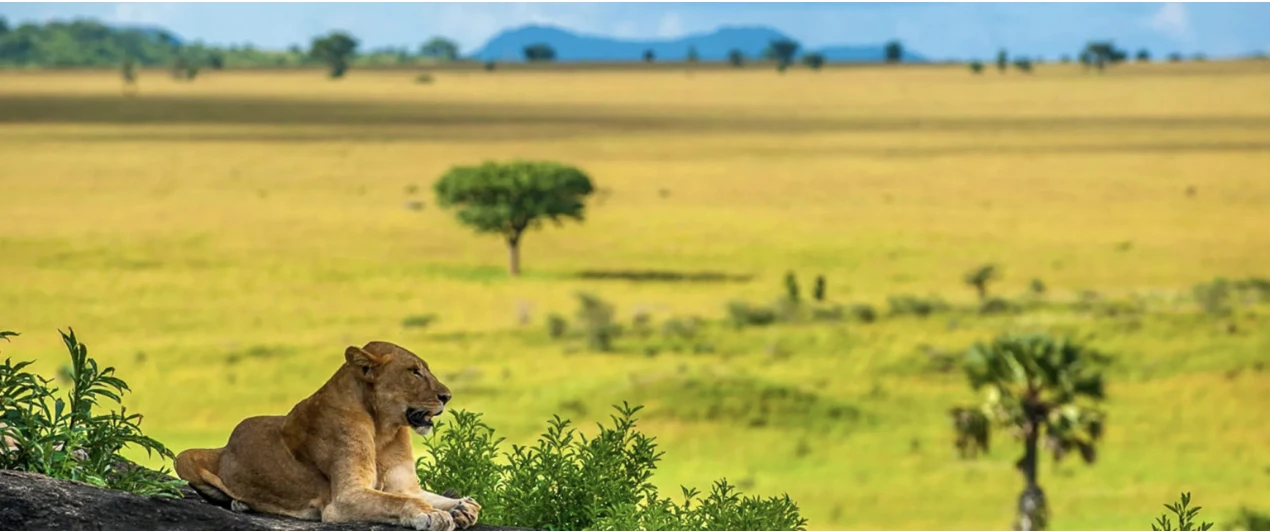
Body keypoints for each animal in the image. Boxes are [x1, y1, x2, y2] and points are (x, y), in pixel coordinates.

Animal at [174, 341, 480, 531]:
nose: (447, 396)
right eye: (414, 371)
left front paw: (461, 507)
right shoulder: (343, 500)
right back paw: (240, 503)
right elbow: (399, 501)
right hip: (183, 457)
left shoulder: (406, 486)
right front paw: (430, 514)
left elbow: (426, 495)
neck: (385, 428)